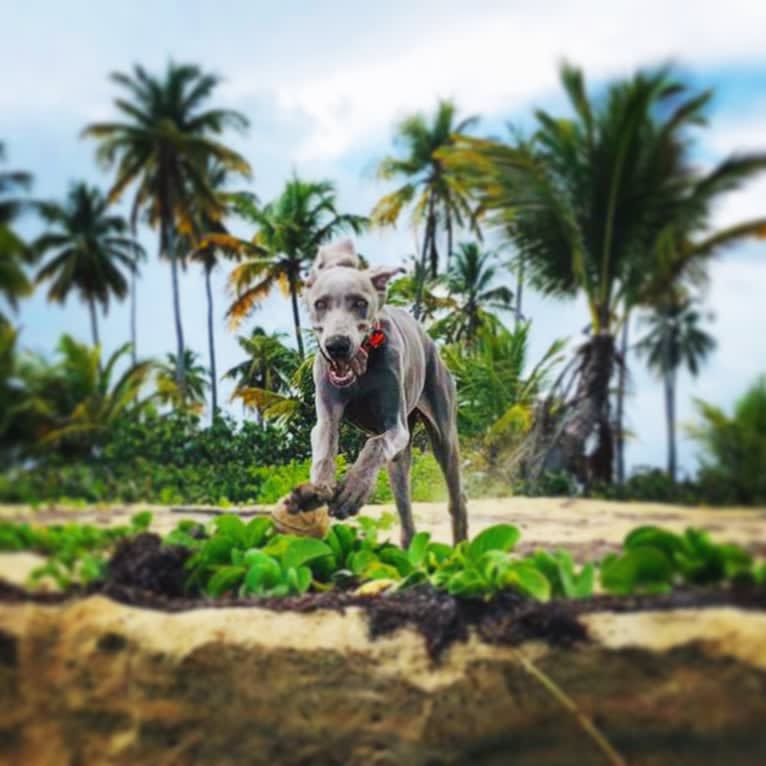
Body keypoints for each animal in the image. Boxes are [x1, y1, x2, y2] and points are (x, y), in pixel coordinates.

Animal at [284, 240, 468, 544]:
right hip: (399, 462)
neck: (361, 367)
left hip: (444, 432)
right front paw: (315, 492)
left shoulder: (395, 426)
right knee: (405, 509)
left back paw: (461, 549)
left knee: (456, 497)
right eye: (320, 304)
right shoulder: (326, 416)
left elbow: (375, 445)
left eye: (360, 303)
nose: (337, 345)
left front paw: (352, 491)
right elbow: (324, 450)